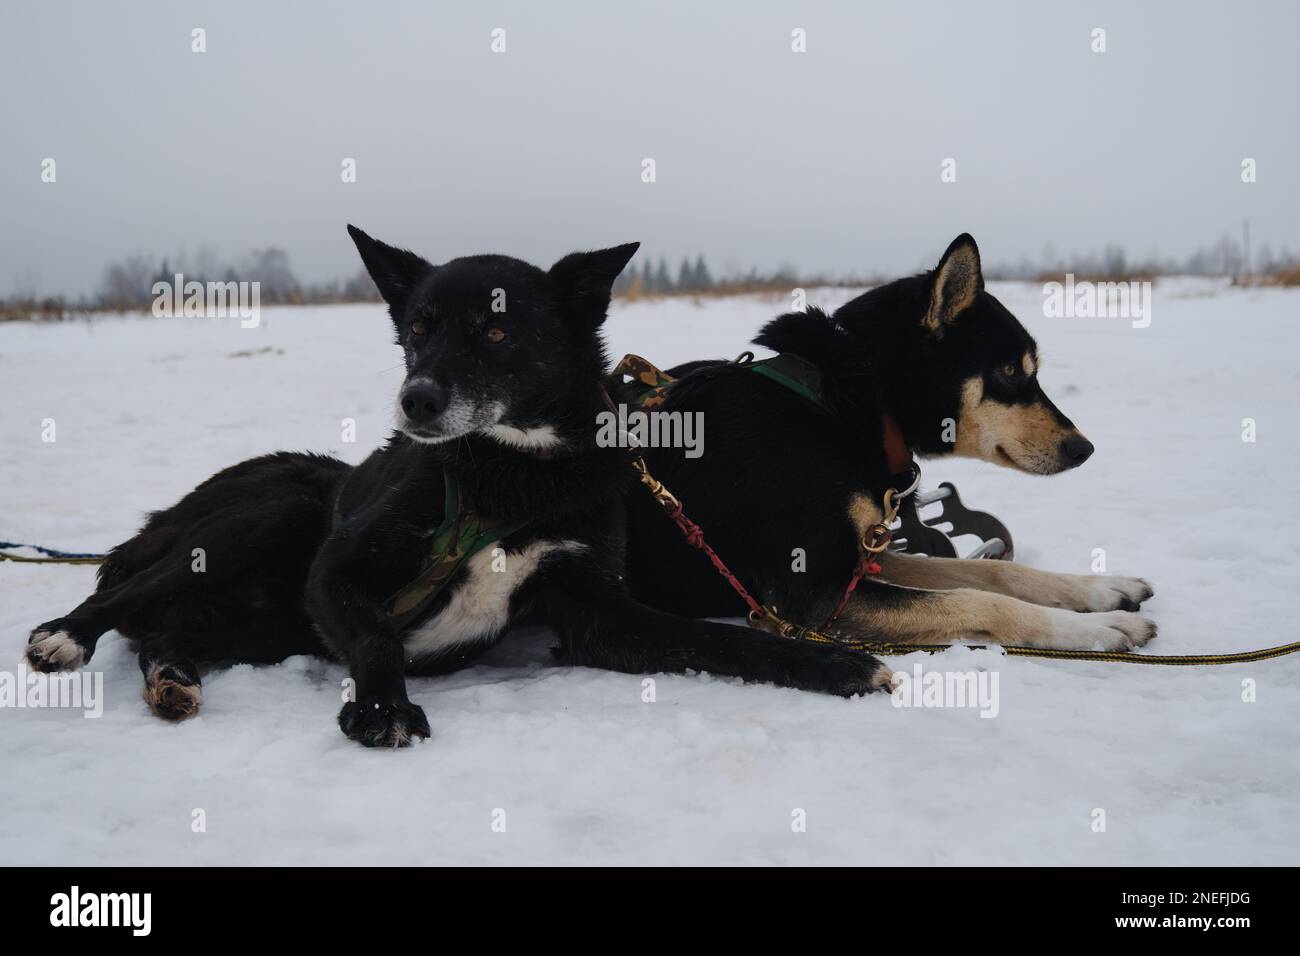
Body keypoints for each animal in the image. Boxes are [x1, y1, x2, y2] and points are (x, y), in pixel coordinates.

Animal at [27, 226, 894, 749]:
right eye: (418, 326)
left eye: (499, 330)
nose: (416, 401)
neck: (511, 473)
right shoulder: (337, 571)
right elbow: (378, 636)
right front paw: (383, 705)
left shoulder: (598, 612)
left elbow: (724, 640)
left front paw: (833, 667)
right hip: (268, 518)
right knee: (124, 597)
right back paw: (64, 635)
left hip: (266, 623)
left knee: (168, 632)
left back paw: (172, 678)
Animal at [618, 234, 1159, 650]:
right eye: (1010, 372)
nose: (1083, 448)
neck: (845, 403)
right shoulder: (815, 593)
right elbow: (979, 598)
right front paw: (1096, 627)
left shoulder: (863, 556)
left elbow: (996, 575)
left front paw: (1102, 590)